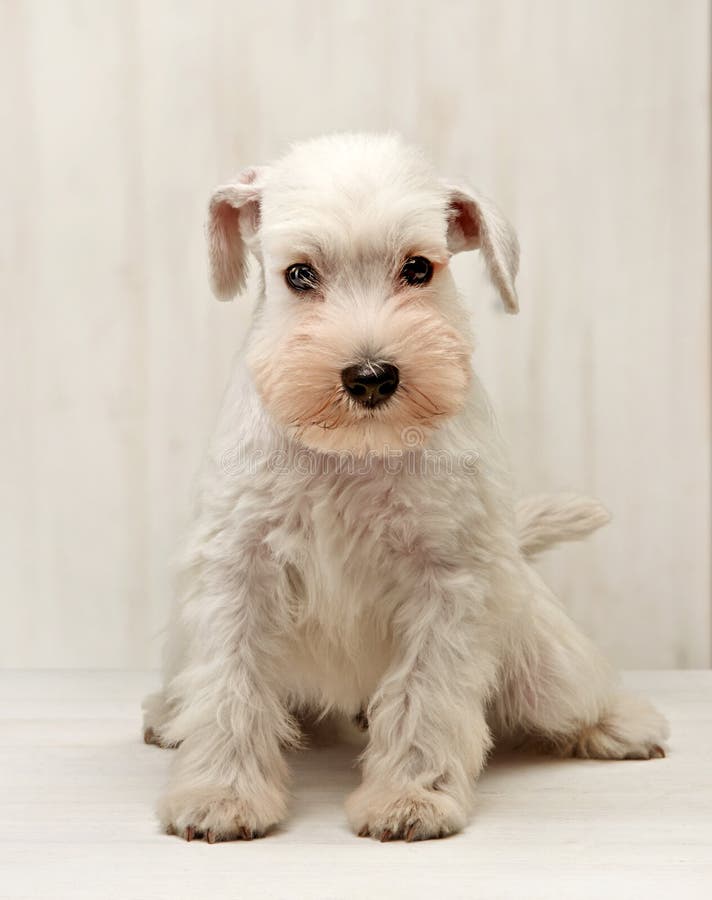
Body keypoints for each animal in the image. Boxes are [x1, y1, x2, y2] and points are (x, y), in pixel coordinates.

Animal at [143, 132, 668, 844]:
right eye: (298, 275)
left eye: (419, 269)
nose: (371, 377)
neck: (355, 452)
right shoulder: (238, 572)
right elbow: (230, 686)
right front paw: (221, 793)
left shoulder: (448, 583)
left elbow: (425, 694)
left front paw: (410, 798)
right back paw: (167, 715)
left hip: (545, 665)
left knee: (578, 694)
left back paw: (622, 725)